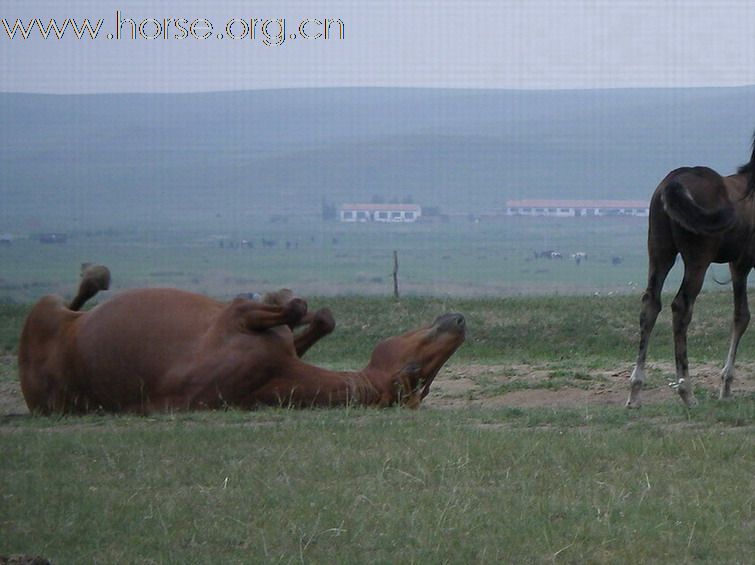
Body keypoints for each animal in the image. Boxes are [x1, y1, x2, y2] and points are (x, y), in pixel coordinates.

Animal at [628, 132, 755, 406]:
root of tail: (672, 183)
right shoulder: (743, 263)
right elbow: (743, 316)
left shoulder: (737, 265)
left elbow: (741, 316)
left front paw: (726, 388)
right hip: (698, 259)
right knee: (681, 307)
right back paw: (687, 391)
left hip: (660, 253)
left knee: (650, 305)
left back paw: (635, 392)